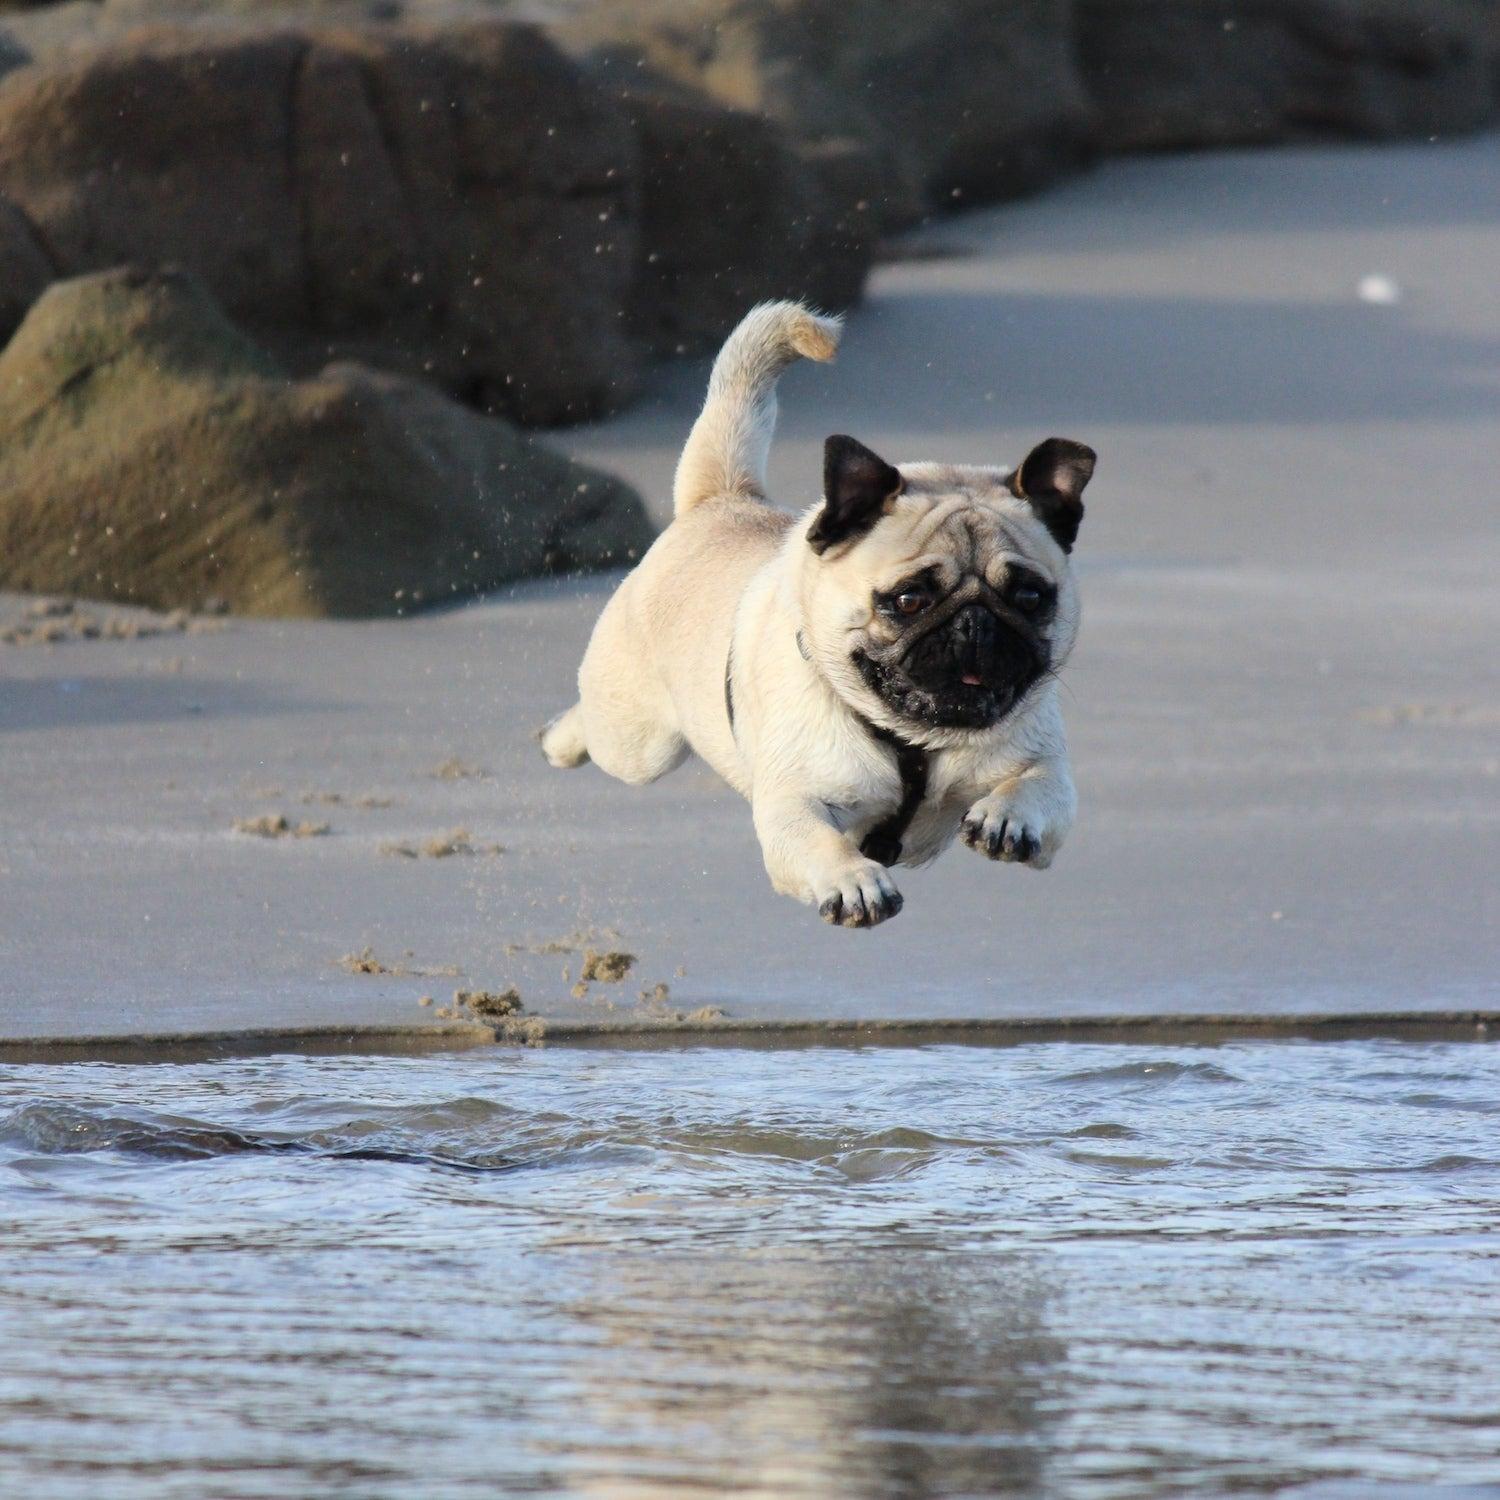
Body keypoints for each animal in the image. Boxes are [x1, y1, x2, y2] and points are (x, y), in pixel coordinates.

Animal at [540, 297, 1092, 918]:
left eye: (1029, 597)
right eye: (909, 599)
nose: (975, 622)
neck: (915, 744)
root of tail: (722, 499)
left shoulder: (1046, 768)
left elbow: (1036, 784)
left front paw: (1007, 816)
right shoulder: (792, 807)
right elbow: (820, 842)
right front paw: (854, 880)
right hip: (638, 741)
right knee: (601, 732)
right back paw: (559, 741)